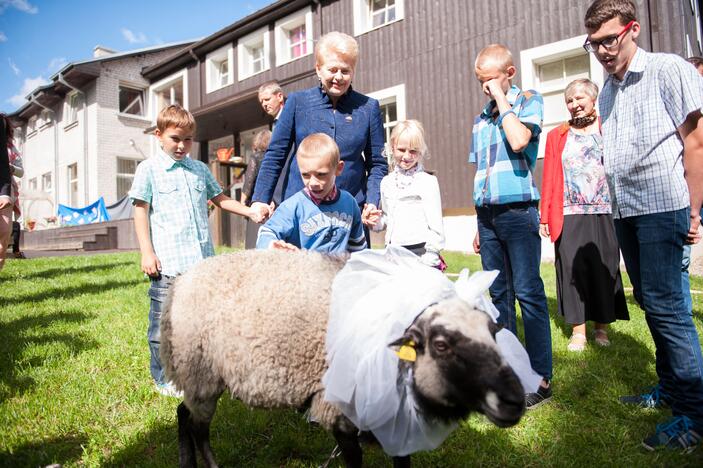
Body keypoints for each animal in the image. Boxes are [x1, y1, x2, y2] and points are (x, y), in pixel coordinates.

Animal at [160, 250, 524, 466]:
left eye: (494, 331)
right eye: (441, 345)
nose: (514, 401)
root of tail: (180, 282)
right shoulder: (339, 412)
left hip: (201, 378)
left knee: (183, 414)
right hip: (200, 371)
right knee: (197, 426)